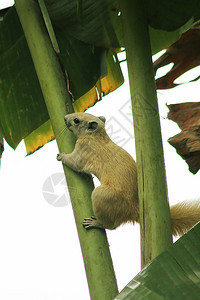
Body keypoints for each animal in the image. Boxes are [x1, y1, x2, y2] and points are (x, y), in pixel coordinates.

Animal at [56, 112, 200, 237]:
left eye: (76, 120)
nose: (64, 117)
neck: (97, 135)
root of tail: (133, 210)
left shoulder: (82, 150)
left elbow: (74, 163)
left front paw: (61, 156)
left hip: (101, 195)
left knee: (111, 226)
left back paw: (95, 223)